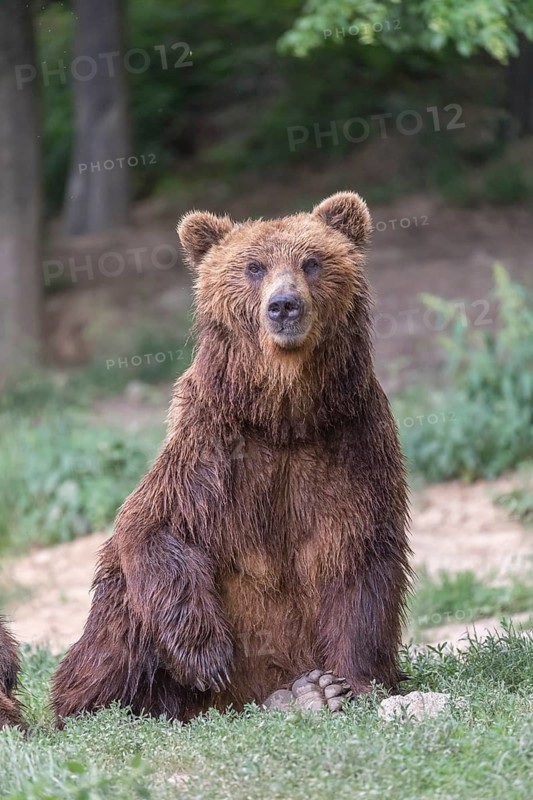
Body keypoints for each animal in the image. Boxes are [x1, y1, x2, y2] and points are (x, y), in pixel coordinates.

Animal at [52, 191, 410, 723]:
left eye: (312, 261)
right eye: (254, 267)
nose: (284, 306)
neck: (285, 418)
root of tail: (237, 704)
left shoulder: (352, 444)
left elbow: (360, 561)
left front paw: (352, 682)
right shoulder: (212, 449)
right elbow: (155, 525)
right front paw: (208, 657)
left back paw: (306, 692)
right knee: (118, 624)